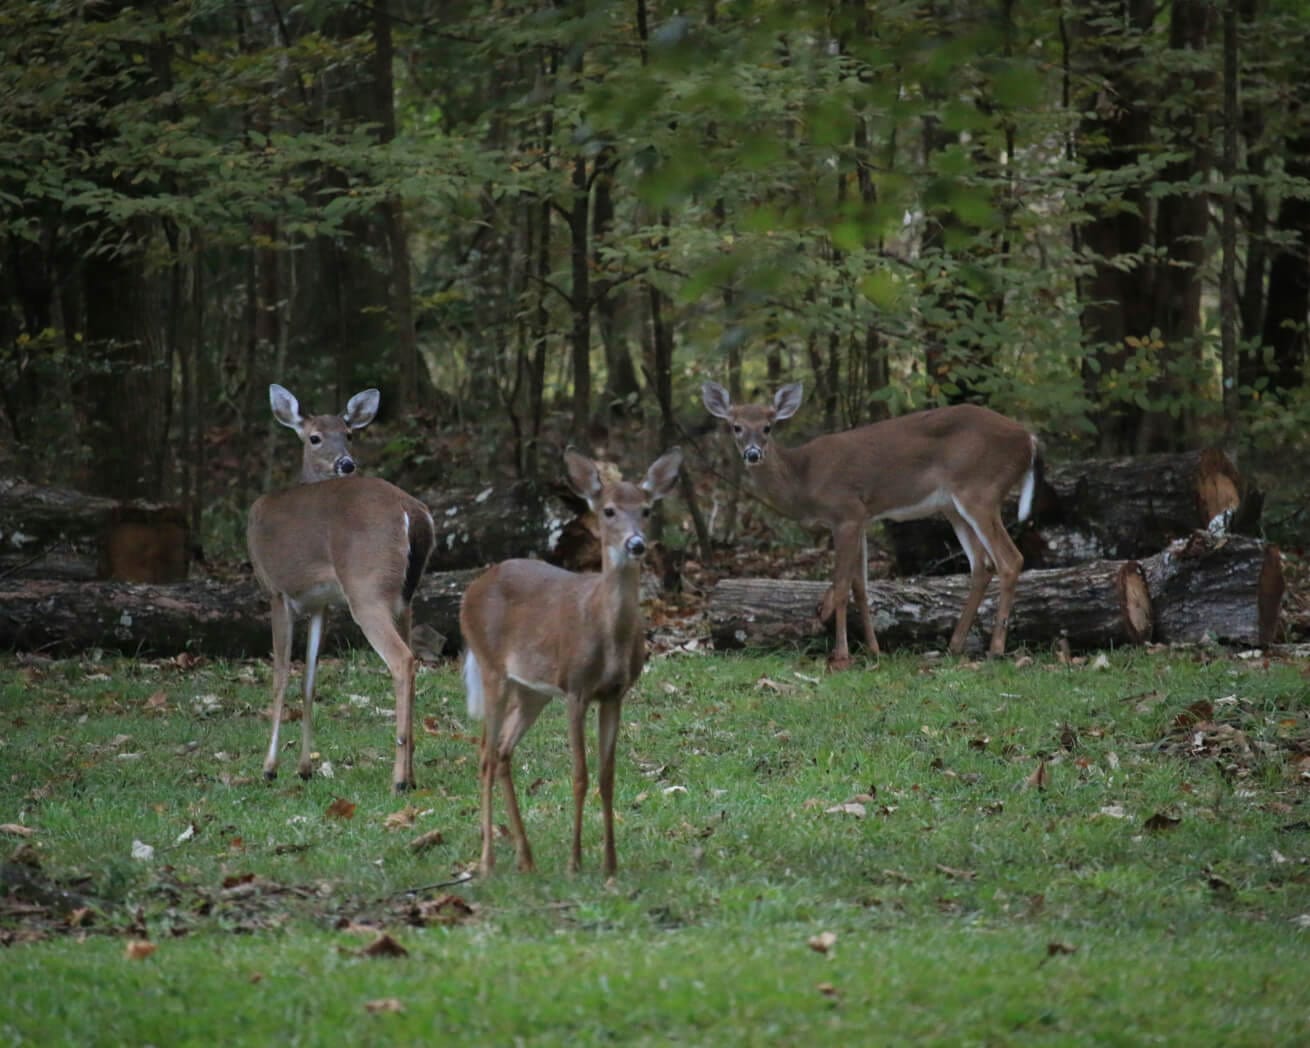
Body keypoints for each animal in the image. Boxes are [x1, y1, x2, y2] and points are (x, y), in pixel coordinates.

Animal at [250, 382, 440, 785]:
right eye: (316, 437)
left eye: (350, 434)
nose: (346, 464)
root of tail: (412, 512)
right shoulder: (321, 603)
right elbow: (308, 679)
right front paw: (304, 768)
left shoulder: (276, 590)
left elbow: (279, 677)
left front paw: (270, 767)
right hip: (405, 597)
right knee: (412, 654)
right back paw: (411, 773)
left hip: (367, 589)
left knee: (403, 660)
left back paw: (399, 778)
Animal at [458, 445, 681, 875]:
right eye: (608, 510)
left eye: (646, 509)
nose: (636, 544)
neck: (608, 635)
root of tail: (471, 589)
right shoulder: (576, 688)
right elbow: (579, 774)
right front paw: (575, 863)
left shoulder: (613, 694)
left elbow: (607, 777)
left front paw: (610, 866)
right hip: (492, 668)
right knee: (485, 754)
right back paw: (488, 860)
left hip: (532, 689)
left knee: (503, 750)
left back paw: (526, 858)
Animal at [702, 379, 1037, 668]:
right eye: (736, 427)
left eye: (768, 427)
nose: (753, 454)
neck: (804, 478)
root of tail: (1030, 441)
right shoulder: (862, 517)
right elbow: (860, 587)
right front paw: (874, 650)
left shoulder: (846, 512)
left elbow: (841, 588)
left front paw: (841, 654)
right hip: (953, 505)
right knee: (982, 565)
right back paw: (954, 645)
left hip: (980, 490)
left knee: (1010, 560)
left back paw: (995, 649)